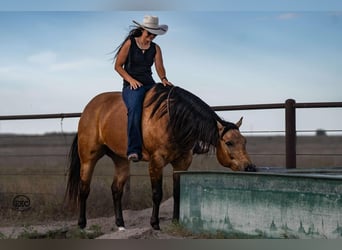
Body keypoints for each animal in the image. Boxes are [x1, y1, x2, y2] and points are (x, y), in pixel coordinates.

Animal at [65, 83, 255, 230]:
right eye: (229, 143)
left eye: (245, 141)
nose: (250, 167)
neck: (173, 119)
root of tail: (88, 109)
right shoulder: (156, 162)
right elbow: (157, 193)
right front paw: (154, 223)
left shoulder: (182, 163)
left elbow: (178, 192)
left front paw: (176, 220)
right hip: (88, 159)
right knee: (84, 189)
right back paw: (82, 224)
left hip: (120, 160)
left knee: (116, 189)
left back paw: (120, 223)